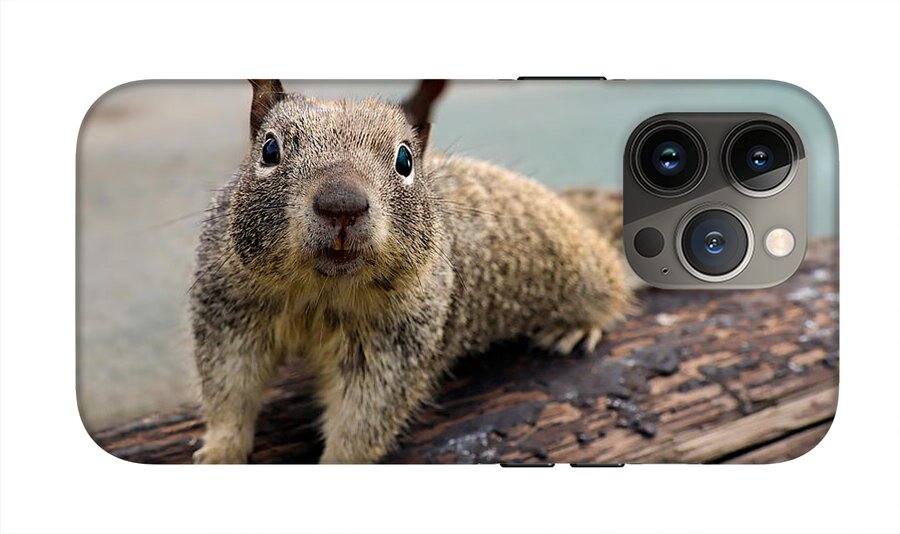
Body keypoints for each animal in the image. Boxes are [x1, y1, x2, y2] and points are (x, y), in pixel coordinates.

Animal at [191, 80, 635, 463]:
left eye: (405, 160)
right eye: (269, 149)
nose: (342, 204)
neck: (321, 291)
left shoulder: (394, 345)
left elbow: (363, 419)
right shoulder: (230, 313)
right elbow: (229, 391)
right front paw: (219, 452)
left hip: (583, 270)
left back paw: (575, 326)